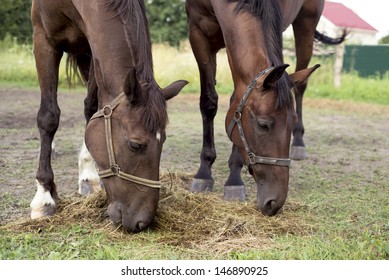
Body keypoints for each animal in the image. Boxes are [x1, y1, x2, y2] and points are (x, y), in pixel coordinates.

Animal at [30, 0, 188, 232]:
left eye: (163, 141)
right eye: (136, 145)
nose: (143, 222)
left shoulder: (93, 46)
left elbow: (92, 110)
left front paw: (89, 174)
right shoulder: (44, 39)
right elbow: (48, 117)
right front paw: (43, 198)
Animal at [185, 0, 342, 215]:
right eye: (262, 124)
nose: (275, 202)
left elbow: (235, 98)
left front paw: (234, 179)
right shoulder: (198, 33)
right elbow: (208, 101)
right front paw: (203, 172)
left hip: (306, 25)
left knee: (300, 86)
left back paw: (299, 143)